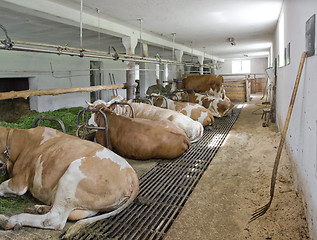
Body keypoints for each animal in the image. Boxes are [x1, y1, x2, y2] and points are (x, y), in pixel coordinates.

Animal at [0, 126, 138, 235]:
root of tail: (131, 173)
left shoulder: (18, 182)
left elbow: (2, 185)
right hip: (94, 203)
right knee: (76, 213)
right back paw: (40, 208)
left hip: (72, 174)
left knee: (54, 219)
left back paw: (12, 220)